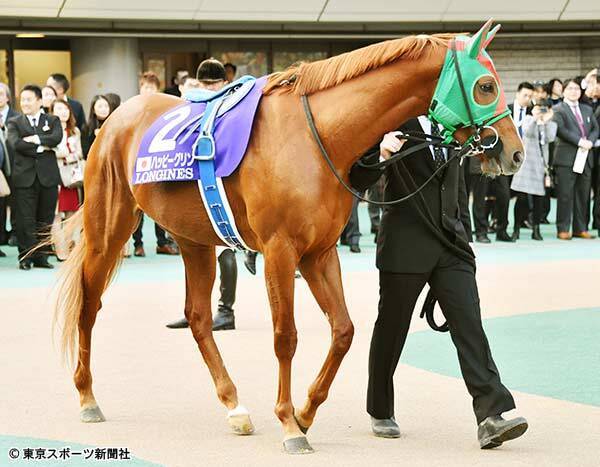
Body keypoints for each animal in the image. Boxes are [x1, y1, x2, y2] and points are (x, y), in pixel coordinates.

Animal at [54, 28, 524, 454]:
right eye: (486, 86)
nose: (514, 152)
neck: (318, 137)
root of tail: (116, 116)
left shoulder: (319, 253)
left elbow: (344, 331)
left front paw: (305, 412)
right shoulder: (280, 250)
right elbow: (286, 337)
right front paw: (288, 423)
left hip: (194, 237)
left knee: (198, 318)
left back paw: (234, 405)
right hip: (108, 228)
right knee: (89, 305)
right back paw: (86, 397)